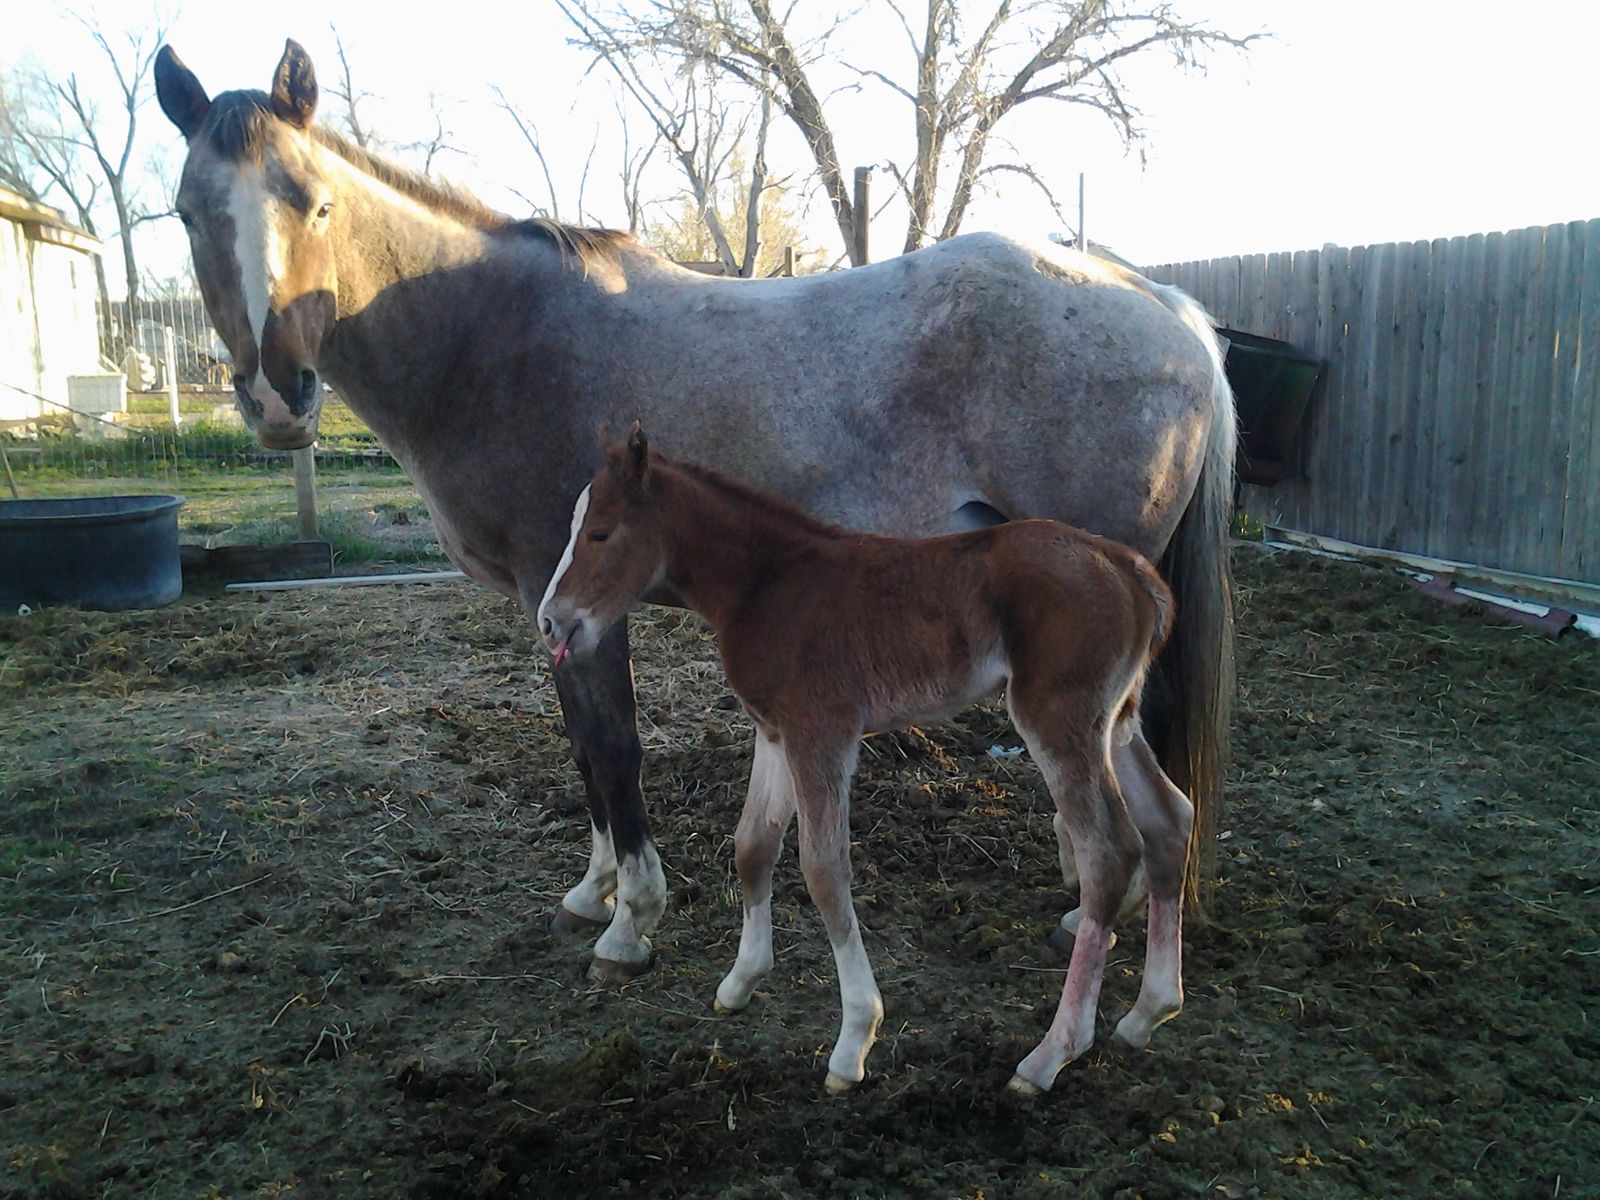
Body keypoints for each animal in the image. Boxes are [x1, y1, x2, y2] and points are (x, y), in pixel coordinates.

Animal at [154, 39, 1235, 985]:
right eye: (185, 214)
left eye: (317, 203)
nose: (278, 395)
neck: (491, 337)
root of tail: (1164, 306)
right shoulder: (554, 605)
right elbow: (582, 749)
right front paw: (594, 891)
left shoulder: (584, 598)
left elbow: (613, 747)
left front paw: (631, 920)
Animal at [540, 425, 1191, 1094]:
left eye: (600, 533)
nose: (550, 623)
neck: (766, 584)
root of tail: (1132, 570)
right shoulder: (776, 732)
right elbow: (753, 847)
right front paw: (740, 983)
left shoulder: (822, 732)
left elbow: (824, 871)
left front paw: (854, 1040)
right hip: (1115, 720)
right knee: (1169, 818)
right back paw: (1148, 1012)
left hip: (1058, 718)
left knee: (1108, 851)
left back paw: (1050, 1055)